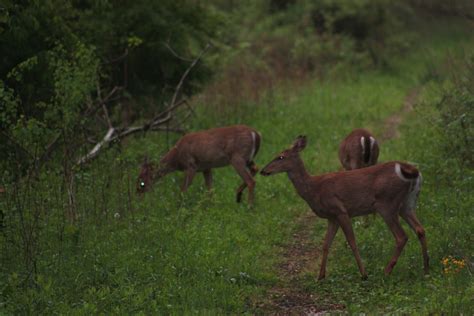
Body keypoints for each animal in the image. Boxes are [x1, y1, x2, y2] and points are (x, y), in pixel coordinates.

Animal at [260, 135, 430, 278]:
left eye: (281, 157)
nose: (263, 170)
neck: (314, 189)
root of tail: (414, 171)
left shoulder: (340, 210)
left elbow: (352, 242)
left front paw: (363, 274)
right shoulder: (332, 217)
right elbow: (326, 244)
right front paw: (320, 276)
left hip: (387, 204)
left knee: (401, 236)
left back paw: (387, 271)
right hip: (407, 203)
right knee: (420, 229)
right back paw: (426, 268)